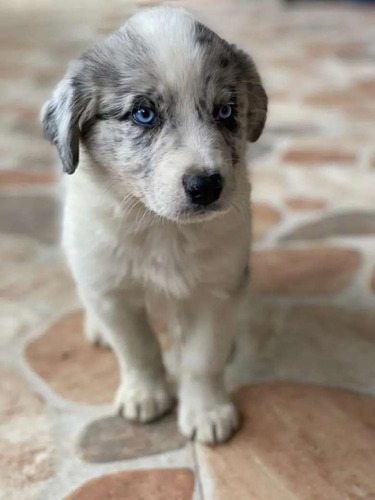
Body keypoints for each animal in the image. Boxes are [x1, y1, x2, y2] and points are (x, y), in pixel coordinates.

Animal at [41, 6, 268, 446]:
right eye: (143, 114)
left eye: (226, 112)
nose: (206, 186)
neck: (163, 228)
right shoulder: (112, 291)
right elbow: (138, 349)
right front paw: (144, 396)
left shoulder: (216, 289)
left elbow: (202, 358)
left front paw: (206, 413)